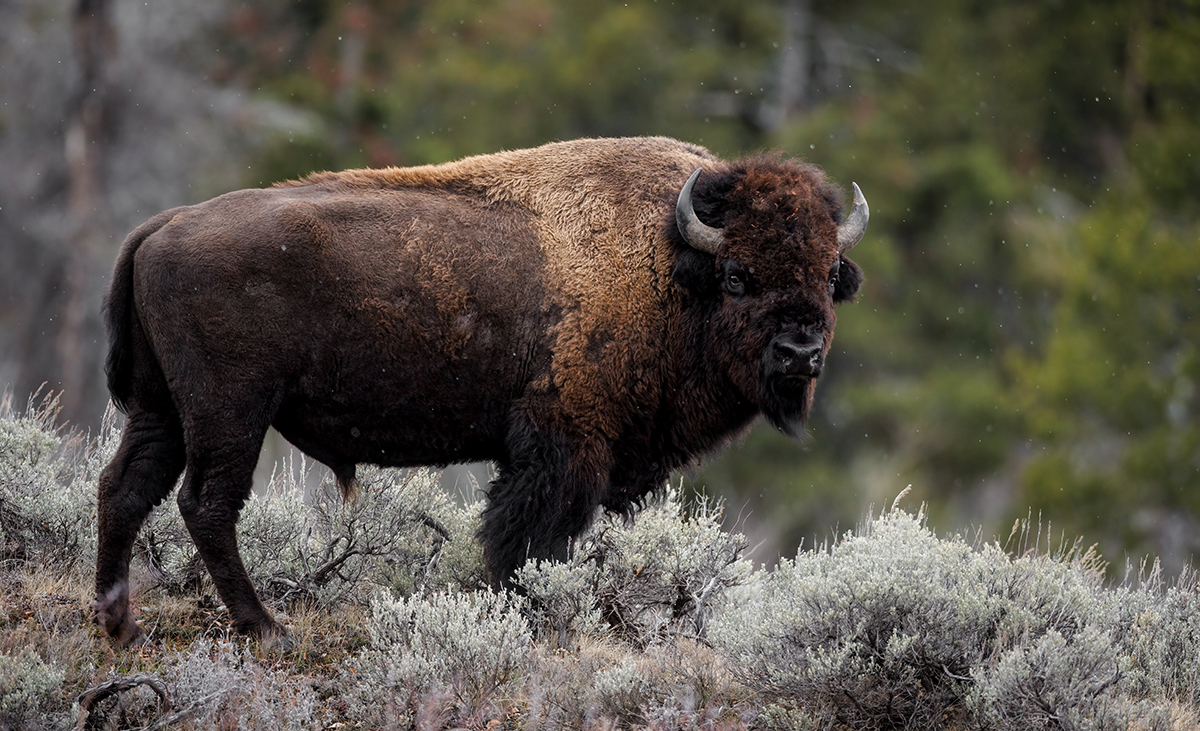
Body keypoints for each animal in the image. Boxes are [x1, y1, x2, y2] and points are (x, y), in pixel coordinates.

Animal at [94, 136, 867, 646]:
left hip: (163, 411)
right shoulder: (564, 451)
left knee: (123, 489)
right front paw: (523, 616)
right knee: (206, 504)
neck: (667, 263)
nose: (801, 352)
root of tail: (162, 226)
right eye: (738, 274)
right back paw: (265, 628)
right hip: (230, 412)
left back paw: (119, 624)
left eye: (830, 274)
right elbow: (525, 542)